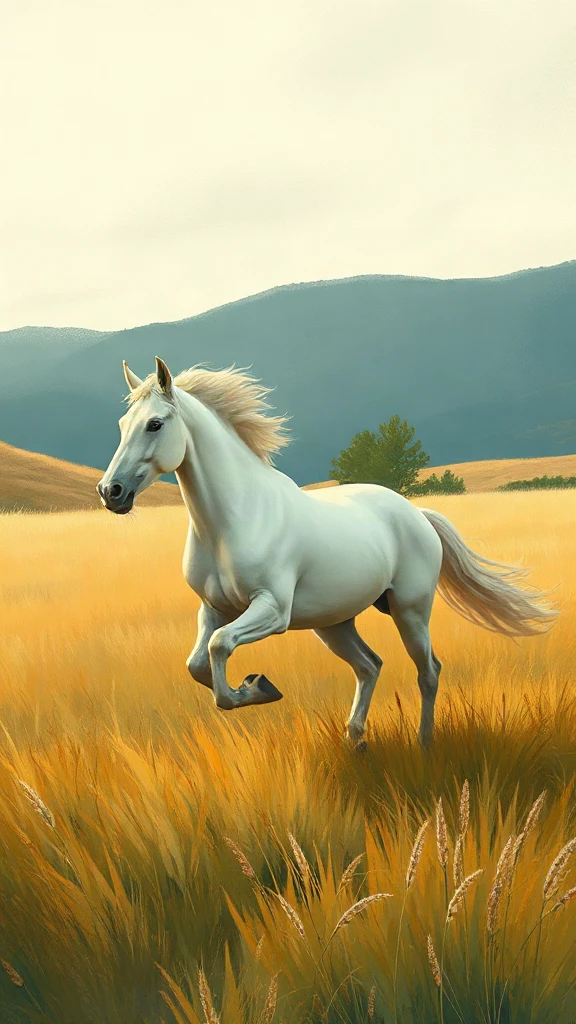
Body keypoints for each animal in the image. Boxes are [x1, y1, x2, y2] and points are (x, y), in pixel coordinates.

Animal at [97, 357, 556, 747]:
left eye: (155, 424)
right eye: (121, 423)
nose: (110, 492)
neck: (234, 519)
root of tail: (417, 514)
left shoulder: (272, 610)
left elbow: (220, 649)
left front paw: (255, 687)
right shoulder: (214, 608)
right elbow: (198, 664)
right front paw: (258, 687)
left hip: (409, 610)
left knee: (428, 672)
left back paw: (424, 744)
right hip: (334, 622)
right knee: (370, 665)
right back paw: (356, 740)